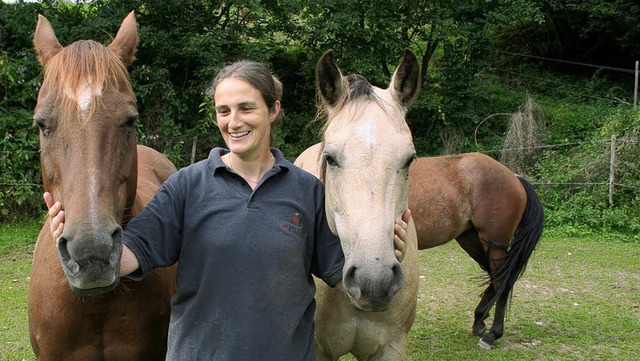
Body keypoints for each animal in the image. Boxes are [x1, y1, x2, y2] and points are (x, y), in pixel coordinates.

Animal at [410, 153, 544, 348]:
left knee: (501, 281)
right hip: (471, 240)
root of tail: (514, 177)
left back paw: (492, 334)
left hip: (494, 245)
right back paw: (480, 319)